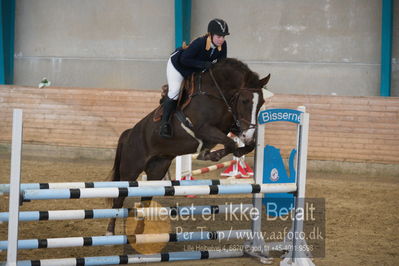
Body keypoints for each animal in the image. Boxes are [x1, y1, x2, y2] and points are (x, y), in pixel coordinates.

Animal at [106, 58, 272, 235]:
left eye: (261, 102)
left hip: (157, 170)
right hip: (131, 169)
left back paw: (139, 234)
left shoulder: (231, 126)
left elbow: (245, 145)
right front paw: (211, 154)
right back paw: (110, 232)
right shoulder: (203, 128)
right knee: (119, 198)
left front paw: (223, 152)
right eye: (244, 101)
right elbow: (230, 143)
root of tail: (129, 133)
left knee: (145, 200)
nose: (249, 134)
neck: (217, 94)